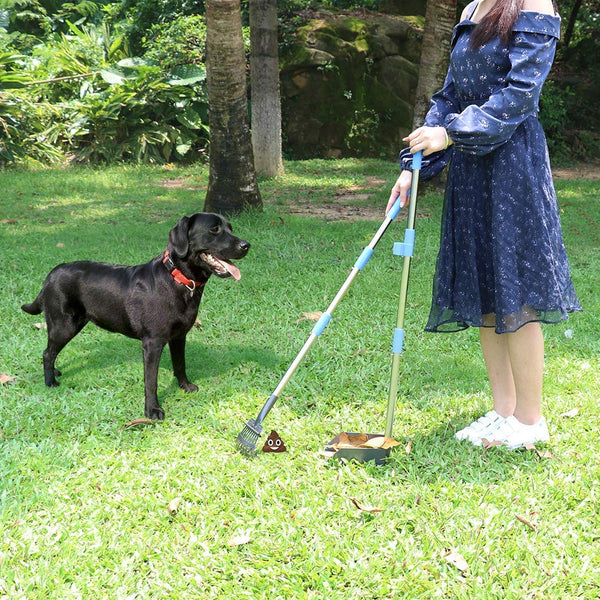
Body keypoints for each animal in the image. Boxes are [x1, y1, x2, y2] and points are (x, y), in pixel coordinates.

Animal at [22, 213, 250, 420]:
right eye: (214, 229)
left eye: (230, 227)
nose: (246, 245)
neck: (178, 279)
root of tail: (50, 276)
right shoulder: (153, 342)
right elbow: (151, 381)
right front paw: (152, 411)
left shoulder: (179, 336)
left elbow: (180, 364)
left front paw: (185, 386)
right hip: (64, 324)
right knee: (47, 353)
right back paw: (50, 382)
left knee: (51, 352)